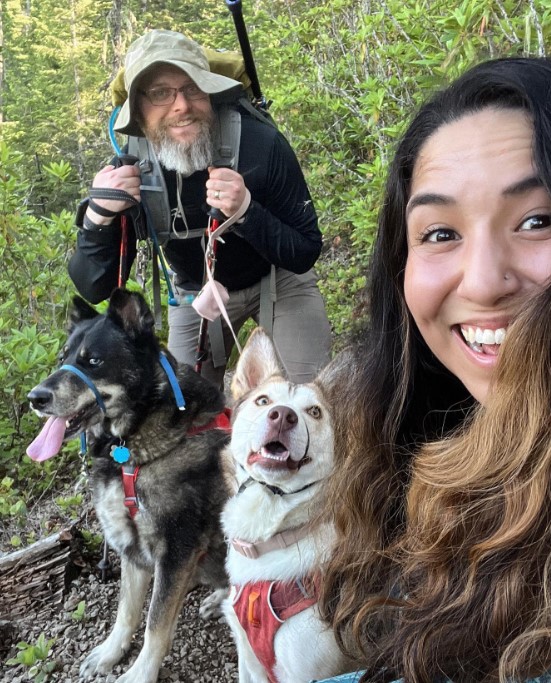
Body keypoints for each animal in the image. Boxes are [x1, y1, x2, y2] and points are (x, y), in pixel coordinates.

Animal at [27, 290, 231, 683]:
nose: (35, 398)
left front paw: (140, 673)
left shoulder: (177, 551)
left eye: (93, 360)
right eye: (63, 358)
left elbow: (156, 622)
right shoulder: (131, 546)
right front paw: (111, 652)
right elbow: (127, 611)